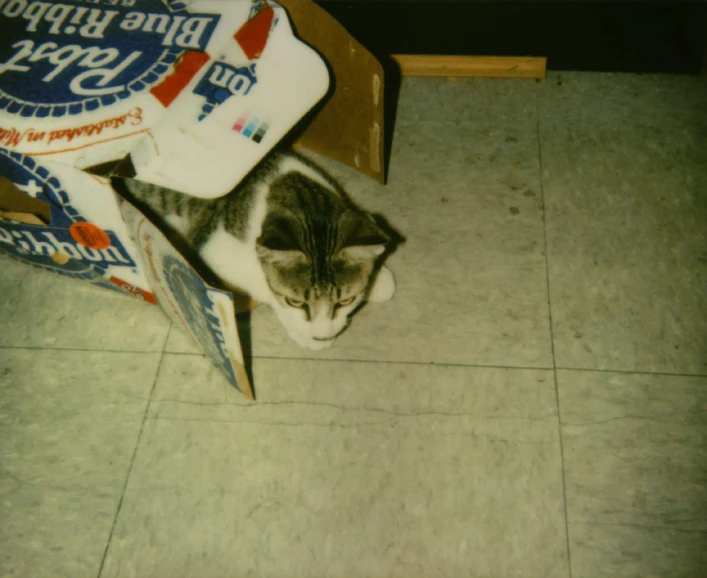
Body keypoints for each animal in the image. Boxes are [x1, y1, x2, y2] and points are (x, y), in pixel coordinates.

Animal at [113, 148, 396, 348]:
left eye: (346, 300)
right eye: (295, 301)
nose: (322, 335)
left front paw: (379, 281)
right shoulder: (214, 252)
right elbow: (263, 285)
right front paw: (307, 334)